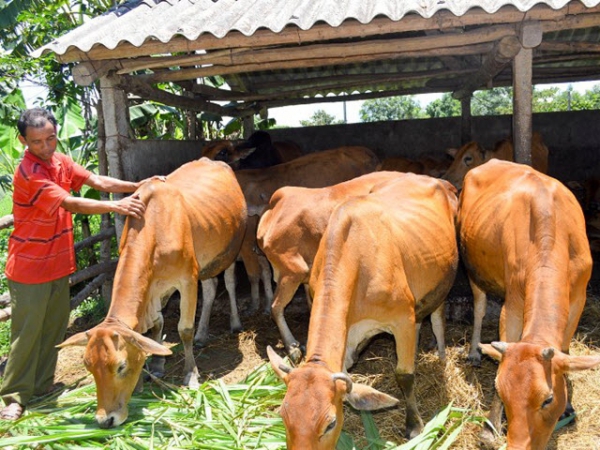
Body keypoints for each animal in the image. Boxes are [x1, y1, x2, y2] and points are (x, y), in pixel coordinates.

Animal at [58, 158, 248, 428]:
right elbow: (156, 326)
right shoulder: (154, 288)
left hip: (229, 250)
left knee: (229, 283)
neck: (155, 228)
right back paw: (203, 334)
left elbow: (184, 329)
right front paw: (156, 366)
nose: (105, 420)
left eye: (121, 366)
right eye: (88, 366)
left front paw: (190, 374)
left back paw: (234, 323)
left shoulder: (187, 279)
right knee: (211, 289)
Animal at [454, 160, 600, 448]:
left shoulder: (579, 297)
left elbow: (565, 348)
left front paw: (568, 406)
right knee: (479, 306)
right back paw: (475, 351)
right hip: (473, 267)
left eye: (548, 399)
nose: (517, 444)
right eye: (500, 389)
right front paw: (490, 427)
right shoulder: (513, 302)